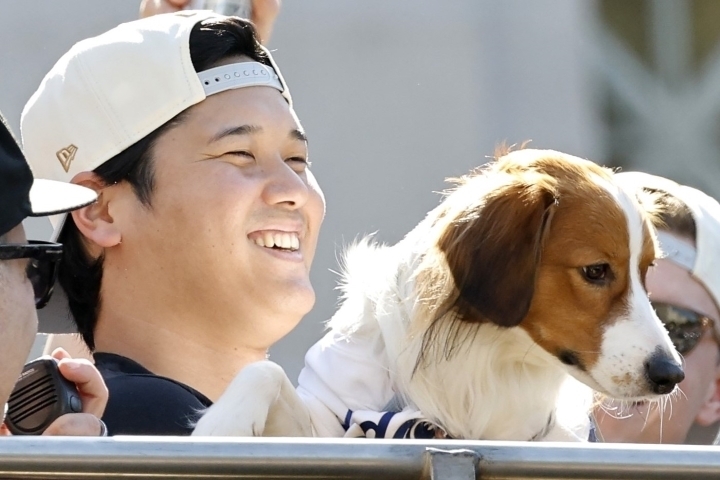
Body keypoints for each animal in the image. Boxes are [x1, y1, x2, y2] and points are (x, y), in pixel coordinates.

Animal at [193, 148, 688, 440]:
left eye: (647, 271)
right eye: (596, 271)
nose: (671, 375)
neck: (486, 357)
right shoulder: (336, 423)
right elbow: (264, 372)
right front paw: (222, 424)